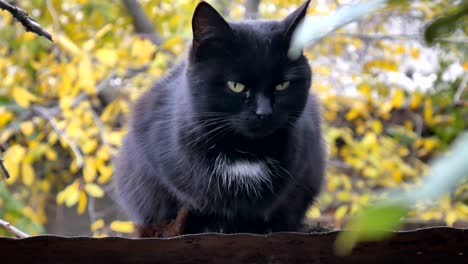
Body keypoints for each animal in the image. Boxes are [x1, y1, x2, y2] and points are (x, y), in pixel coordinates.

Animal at [114, 0, 326, 235]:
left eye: (282, 85)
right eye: (235, 86)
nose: (264, 113)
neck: (245, 152)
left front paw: (257, 226)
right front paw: (212, 224)